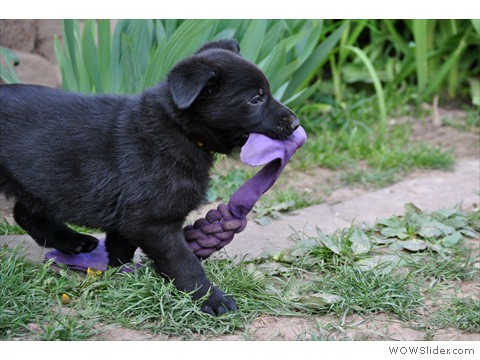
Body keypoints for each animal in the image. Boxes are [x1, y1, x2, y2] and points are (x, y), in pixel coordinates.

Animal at [0, 40, 298, 316]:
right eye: (256, 99)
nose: (295, 123)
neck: (177, 128)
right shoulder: (154, 222)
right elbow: (184, 262)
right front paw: (211, 298)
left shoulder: (130, 216)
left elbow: (121, 246)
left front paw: (119, 272)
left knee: (25, 213)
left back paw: (73, 241)